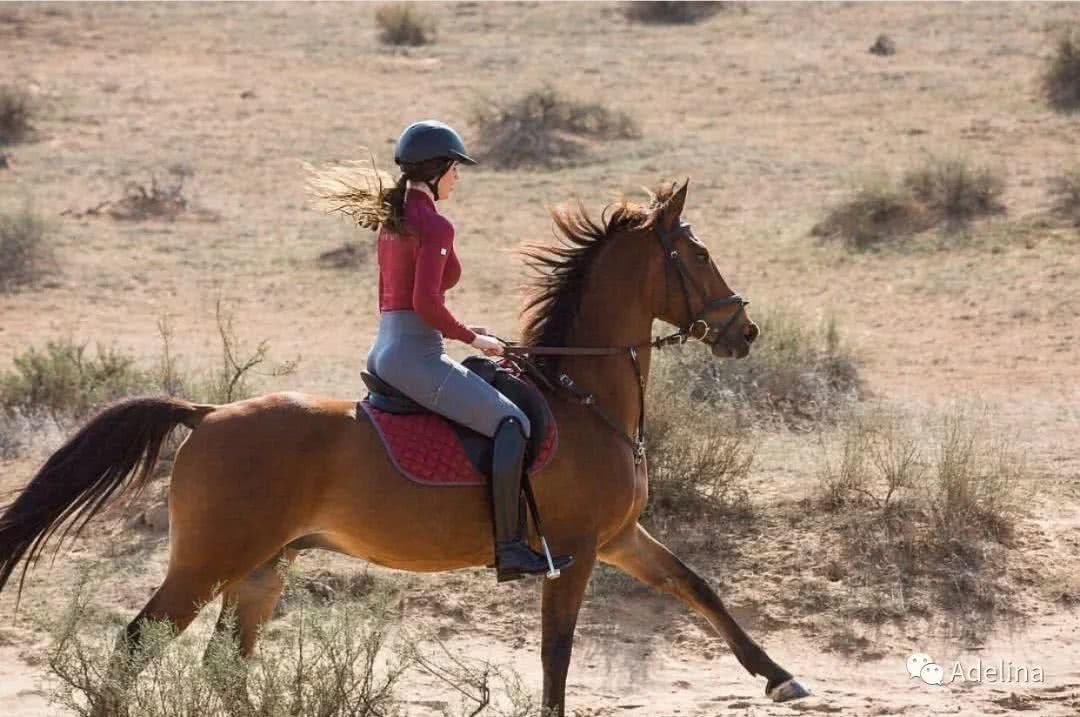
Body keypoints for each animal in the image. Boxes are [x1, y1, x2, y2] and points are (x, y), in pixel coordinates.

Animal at [0, 178, 812, 712]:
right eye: (698, 255)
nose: (745, 331)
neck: (585, 398)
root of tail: (206, 414)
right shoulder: (578, 549)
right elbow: (557, 653)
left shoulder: (619, 538)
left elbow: (697, 585)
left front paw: (781, 675)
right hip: (208, 561)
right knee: (135, 644)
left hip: (261, 569)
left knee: (221, 664)